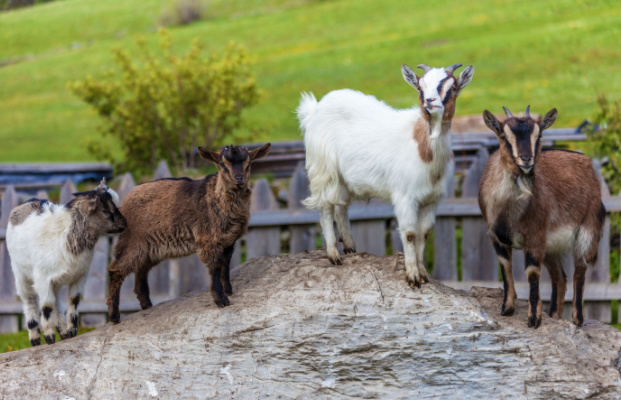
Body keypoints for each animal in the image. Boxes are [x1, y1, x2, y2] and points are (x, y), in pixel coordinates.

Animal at [6, 180, 126, 346]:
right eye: (106, 211)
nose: (125, 224)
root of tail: (27, 202)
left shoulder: (80, 276)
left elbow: (73, 301)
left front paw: (71, 331)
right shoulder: (42, 278)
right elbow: (46, 306)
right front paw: (49, 337)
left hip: (55, 282)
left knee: (56, 299)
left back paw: (62, 331)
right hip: (20, 272)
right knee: (29, 300)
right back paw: (35, 338)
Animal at [105, 142, 270, 324]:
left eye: (249, 163)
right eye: (222, 164)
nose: (239, 179)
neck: (216, 197)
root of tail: (125, 203)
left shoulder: (228, 241)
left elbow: (225, 265)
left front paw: (228, 290)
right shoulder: (209, 240)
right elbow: (215, 267)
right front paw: (221, 300)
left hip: (150, 249)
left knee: (141, 271)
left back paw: (147, 305)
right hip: (133, 242)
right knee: (115, 271)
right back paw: (115, 316)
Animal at [298, 62, 472, 288]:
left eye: (453, 87)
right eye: (420, 87)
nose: (429, 101)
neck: (425, 151)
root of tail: (315, 108)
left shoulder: (432, 199)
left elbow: (424, 234)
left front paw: (424, 273)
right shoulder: (405, 196)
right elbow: (410, 234)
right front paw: (413, 277)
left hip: (344, 178)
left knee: (341, 207)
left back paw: (350, 246)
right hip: (324, 168)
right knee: (326, 207)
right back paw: (333, 254)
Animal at [478, 106, 604, 328]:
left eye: (539, 136)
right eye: (503, 136)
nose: (526, 159)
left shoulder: (535, 236)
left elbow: (532, 274)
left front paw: (534, 319)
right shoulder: (496, 236)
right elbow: (505, 267)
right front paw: (507, 308)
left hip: (588, 230)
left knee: (579, 271)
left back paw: (577, 319)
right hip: (551, 246)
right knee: (559, 277)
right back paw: (554, 316)